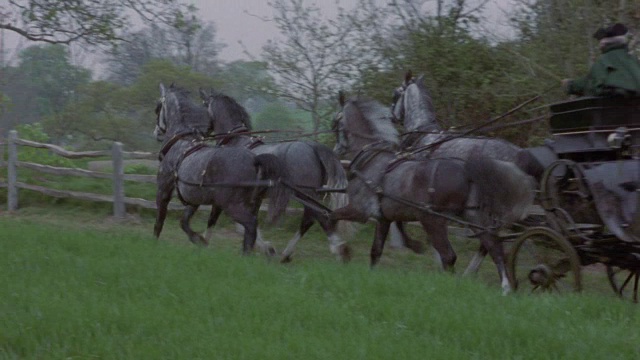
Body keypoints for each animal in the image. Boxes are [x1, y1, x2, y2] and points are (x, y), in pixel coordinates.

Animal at [152, 84, 290, 253]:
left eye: (158, 107)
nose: (156, 133)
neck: (181, 142)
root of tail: (255, 160)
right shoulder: (193, 201)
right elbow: (184, 222)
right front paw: (199, 240)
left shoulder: (163, 191)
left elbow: (159, 222)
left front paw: (153, 244)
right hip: (250, 204)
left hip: (232, 205)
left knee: (251, 225)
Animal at [330, 96, 536, 296]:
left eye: (336, 122)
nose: (335, 150)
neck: (372, 161)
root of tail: (468, 170)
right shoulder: (383, 218)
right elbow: (376, 251)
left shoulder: (359, 211)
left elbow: (330, 217)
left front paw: (340, 249)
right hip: (474, 217)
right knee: (493, 247)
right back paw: (504, 288)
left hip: (432, 220)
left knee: (450, 255)